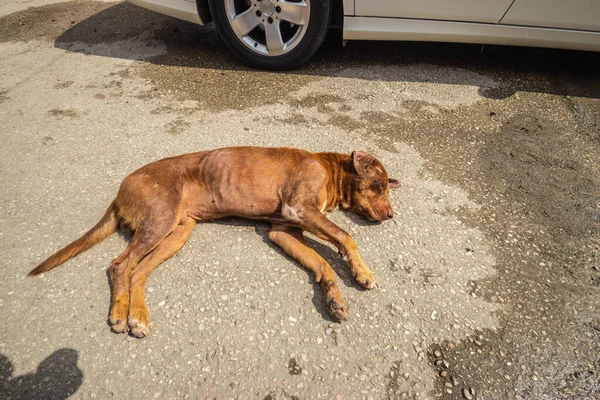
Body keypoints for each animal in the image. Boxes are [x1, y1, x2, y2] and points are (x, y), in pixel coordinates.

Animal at [29, 147, 398, 338]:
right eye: (378, 186)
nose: (392, 214)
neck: (329, 167)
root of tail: (121, 188)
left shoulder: (283, 230)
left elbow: (321, 263)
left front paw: (333, 297)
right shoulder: (299, 209)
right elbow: (345, 235)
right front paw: (360, 271)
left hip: (176, 234)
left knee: (138, 271)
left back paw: (138, 317)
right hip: (158, 223)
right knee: (120, 265)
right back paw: (120, 314)